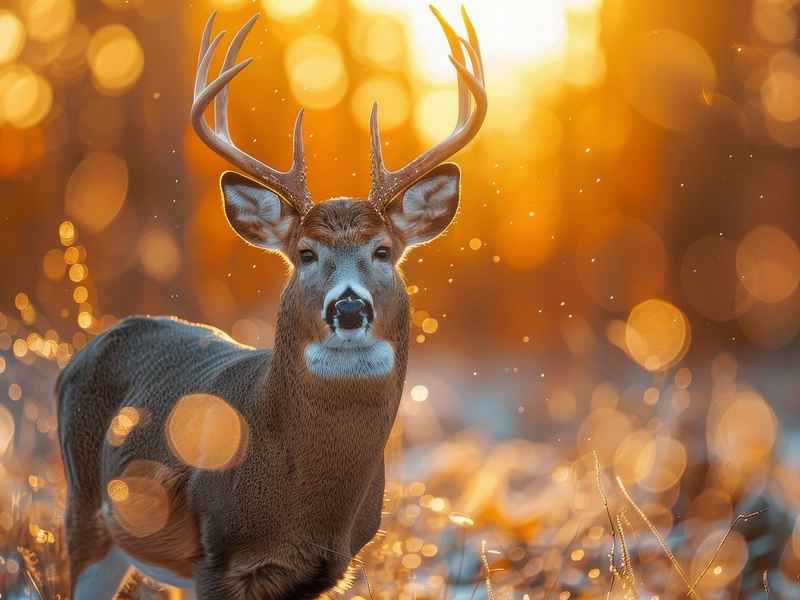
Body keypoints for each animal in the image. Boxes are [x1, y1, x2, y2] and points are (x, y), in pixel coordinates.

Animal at [57, 6, 486, 599]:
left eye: (383, 251)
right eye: (305, 253)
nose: (348, 309)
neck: (304, 507)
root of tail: (81, 354)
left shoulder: (328, 568)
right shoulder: (213, 557)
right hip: (85, 511)